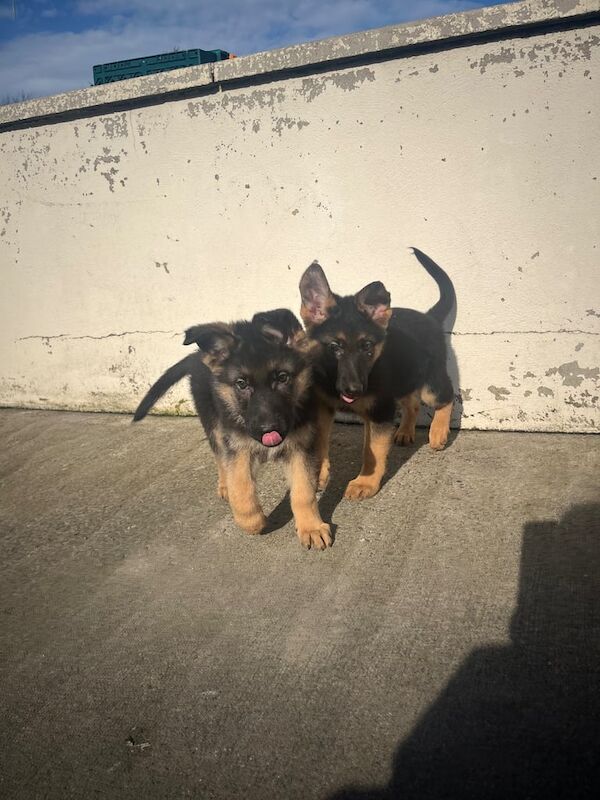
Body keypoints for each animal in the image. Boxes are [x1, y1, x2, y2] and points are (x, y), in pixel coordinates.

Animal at [132, 310, 332, 552]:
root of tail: (200, 354)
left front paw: (311, 527)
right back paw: (225, 484)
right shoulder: (238, 446)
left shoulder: (300, 445)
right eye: (241, 383)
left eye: (283, 377)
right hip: (214, 424)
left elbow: (304, 491)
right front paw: (252, 522)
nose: (268, 430)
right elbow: (241, 487)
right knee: (220, 458)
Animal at [300, 248, 454, 500]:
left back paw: (438, 432)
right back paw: (405, 431)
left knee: (446, 397)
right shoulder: (323, 407)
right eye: (334, 347)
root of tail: (429, 316)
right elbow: (320, 441)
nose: (354, 390)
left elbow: (372, 450)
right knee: (412, 404)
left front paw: (366, 482)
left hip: (430, 385)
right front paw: (319, 474)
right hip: (403, 378)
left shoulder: (380, 412)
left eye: (367, 347)